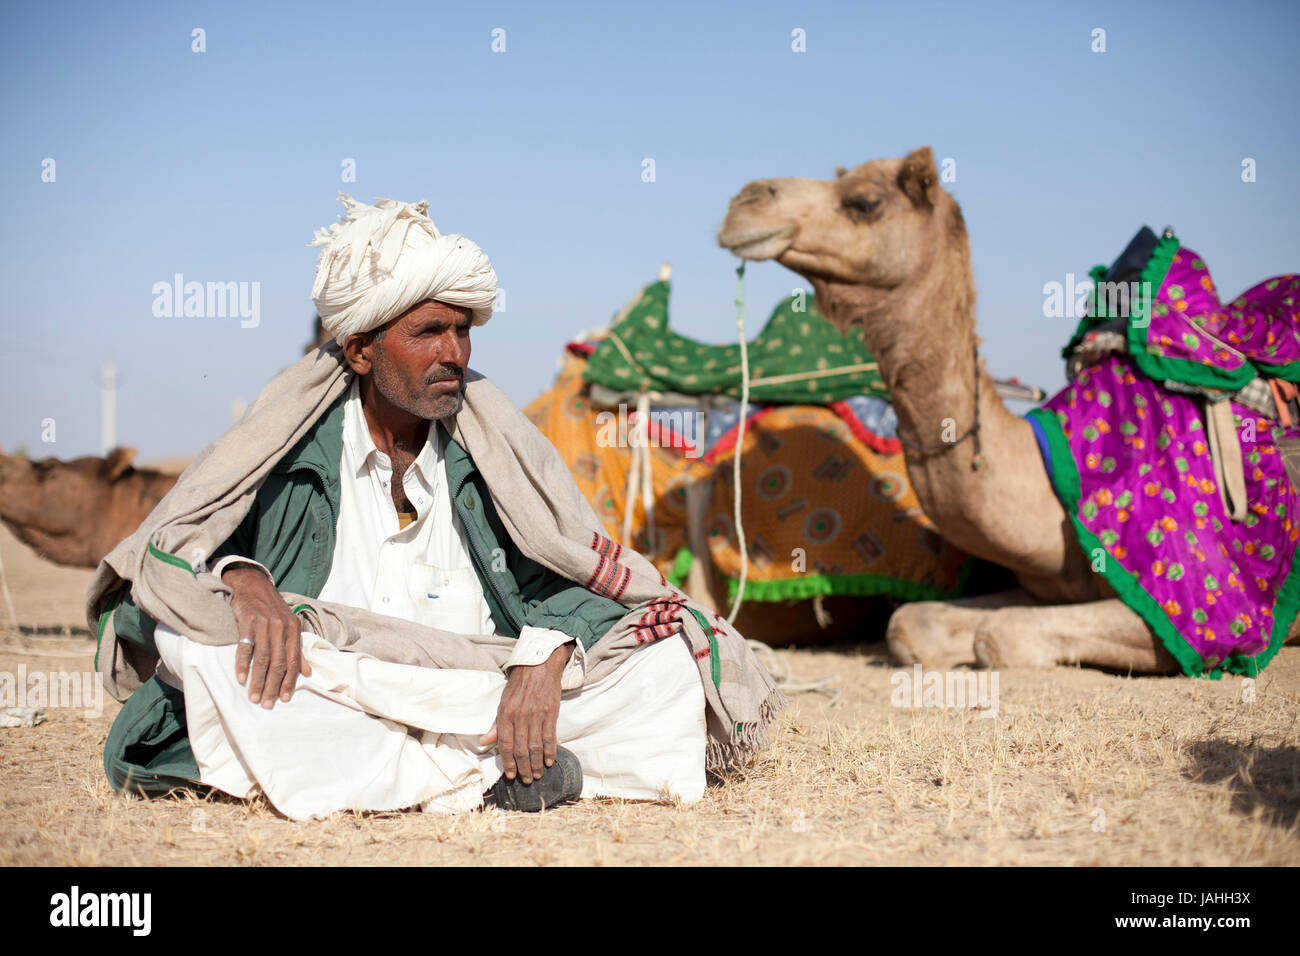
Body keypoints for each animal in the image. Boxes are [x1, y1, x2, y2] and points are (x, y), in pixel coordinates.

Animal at [712, 149, 1300, 671]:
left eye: (864, 202)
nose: (744, 200)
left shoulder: (1200, 610)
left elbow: (997, 636)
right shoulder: (1039, 585)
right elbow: (911, 623)